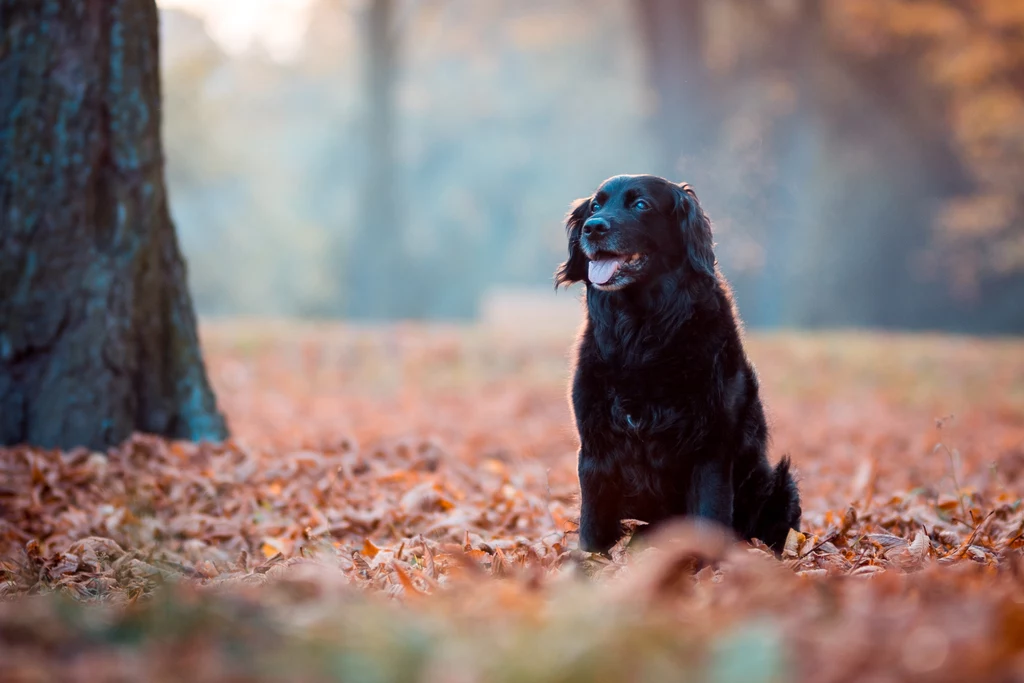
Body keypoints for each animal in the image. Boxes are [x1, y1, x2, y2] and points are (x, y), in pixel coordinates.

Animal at [552, 174, 798, 552]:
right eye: (595, 205)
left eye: (641, 205)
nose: (592, 228)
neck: (641, 333)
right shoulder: (595, 447)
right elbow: (592, 529)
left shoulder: (711, 448)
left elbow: (709, 521)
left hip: (781, 485)